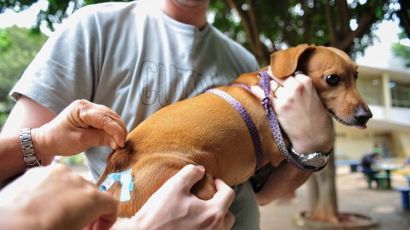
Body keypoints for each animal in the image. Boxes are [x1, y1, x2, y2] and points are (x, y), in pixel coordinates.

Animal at [98, 44, 372, 217]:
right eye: (332, 79)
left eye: (356, 76)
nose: (366, 115)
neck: (269, 89)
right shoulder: (277, 152)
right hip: (197, 181)